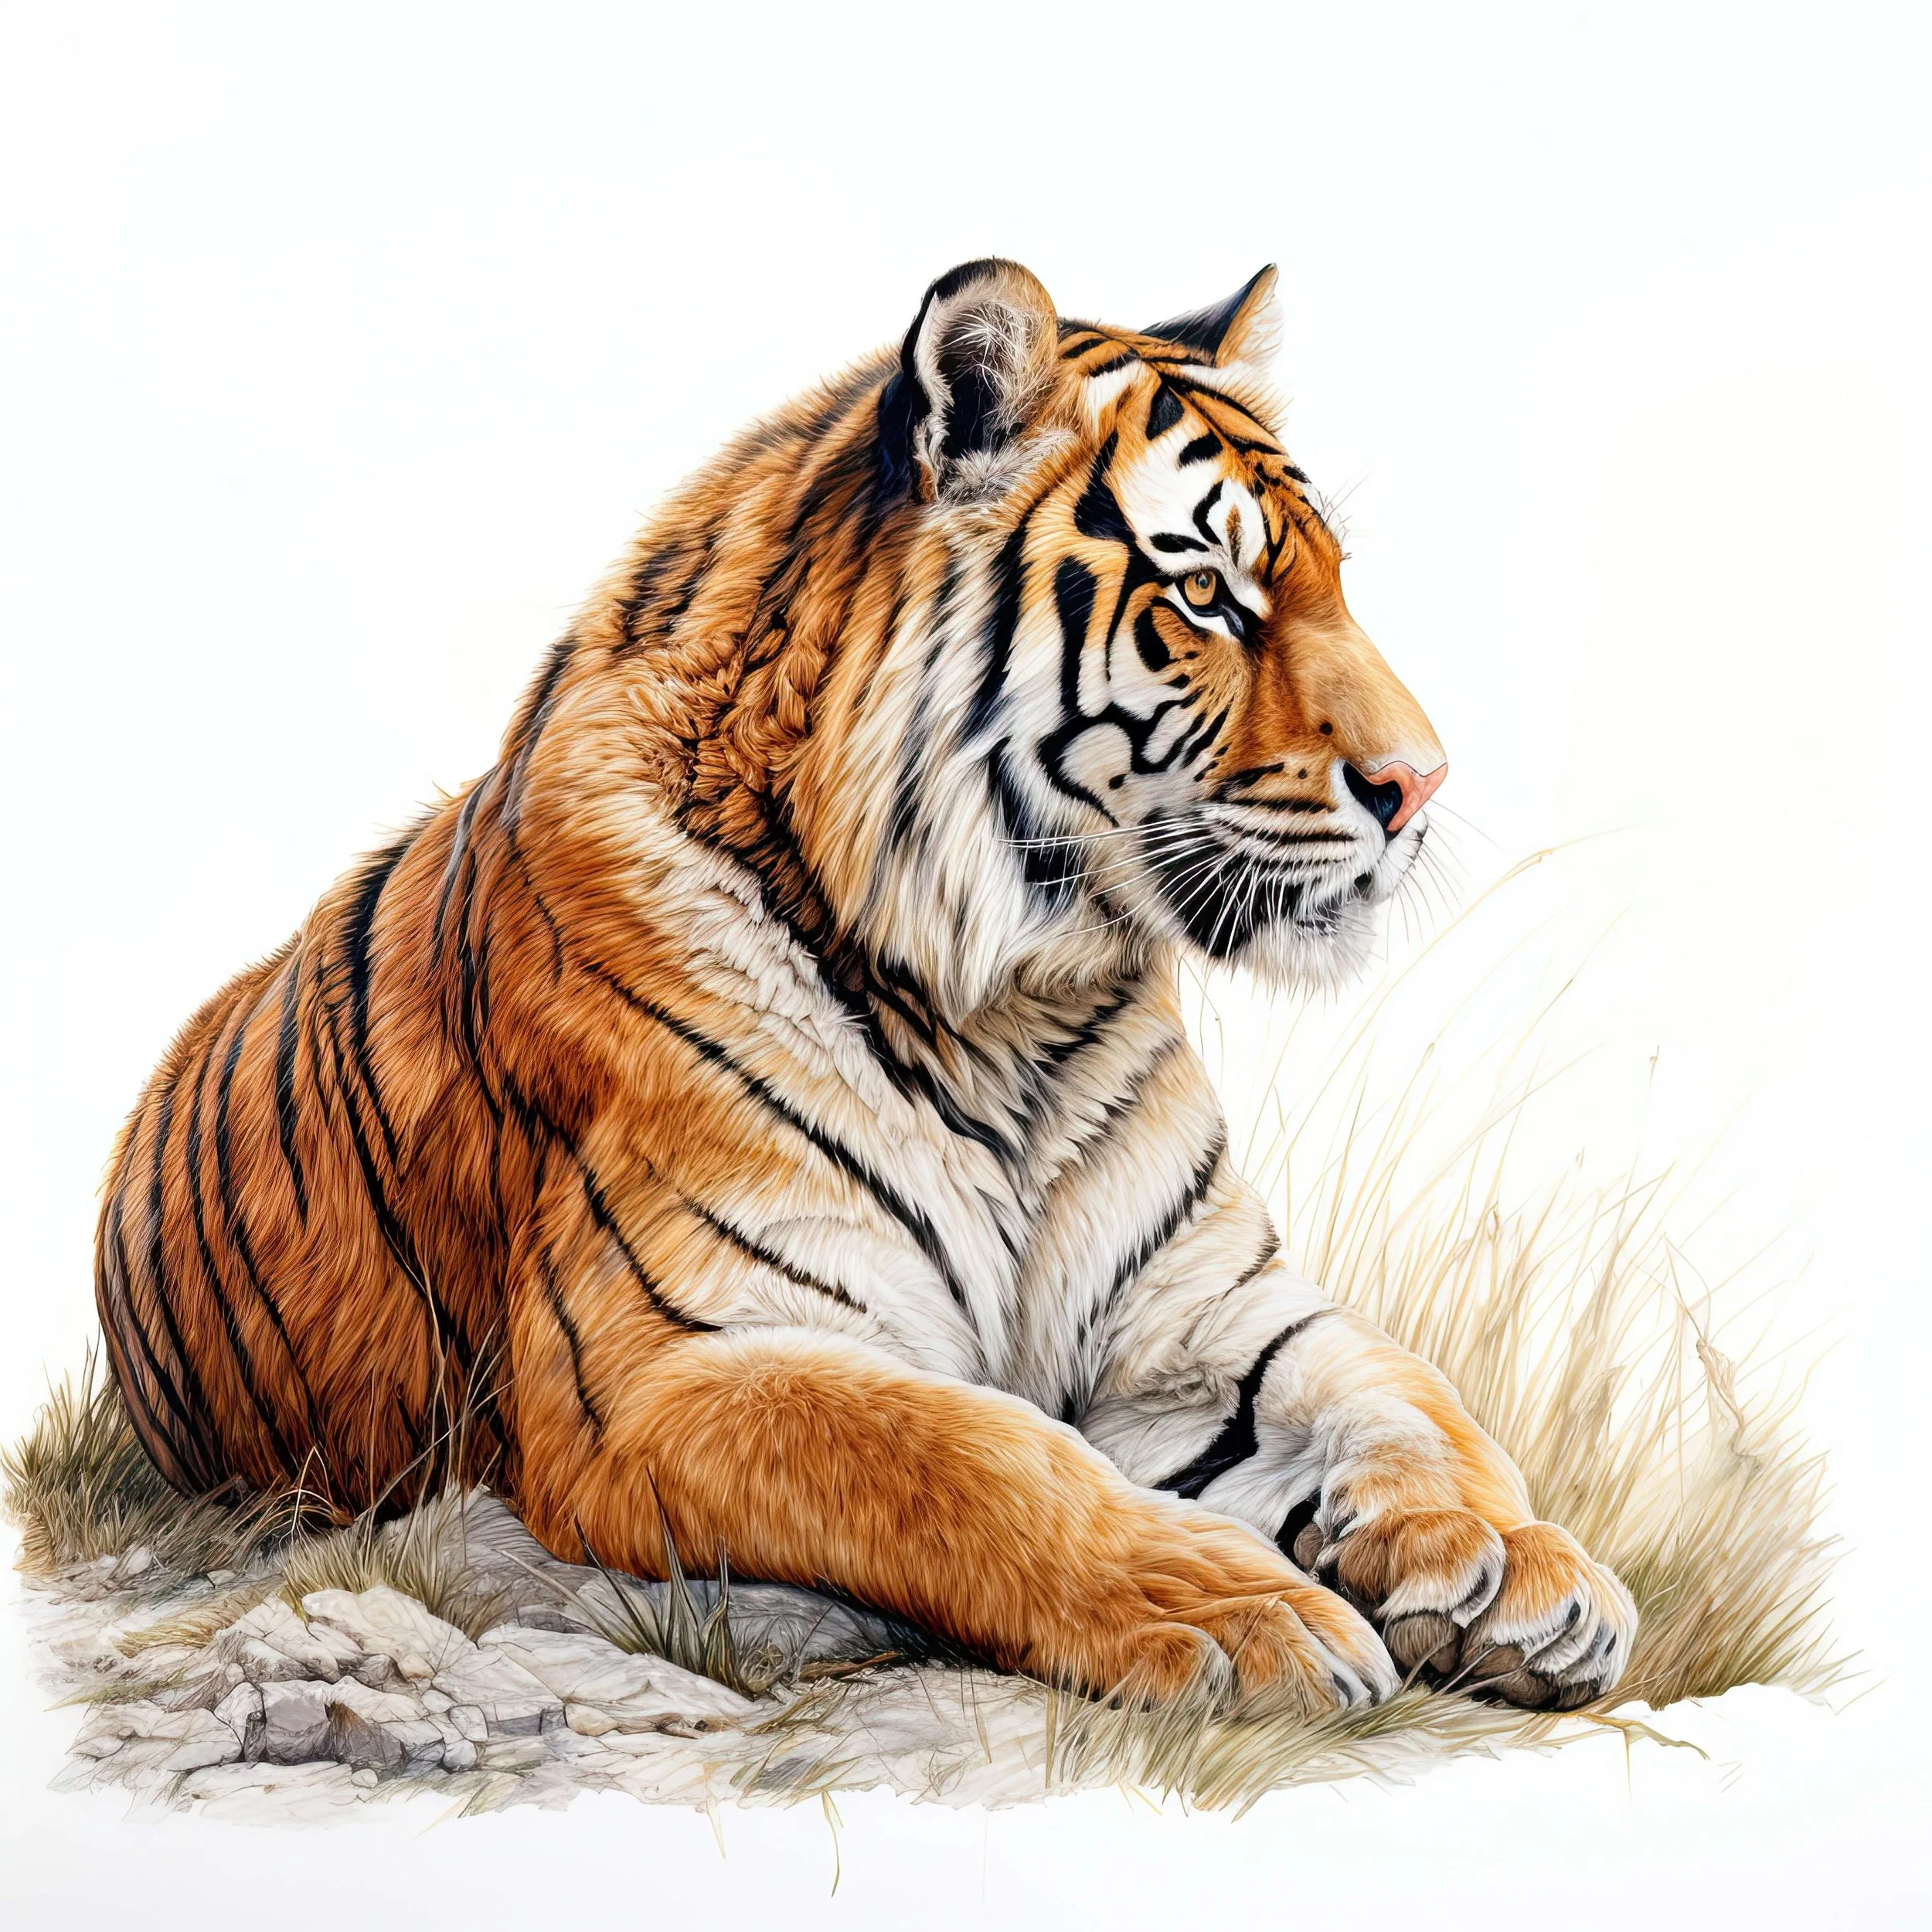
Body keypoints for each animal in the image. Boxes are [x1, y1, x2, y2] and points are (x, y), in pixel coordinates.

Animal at [96, 259, 1636, 1716]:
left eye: (1335, 581)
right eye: (1205, 592)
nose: (1421, 783)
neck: (1017, 1008)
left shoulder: (1203, 1314)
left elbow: (1405, 1391)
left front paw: (1521, 1568)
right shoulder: (665, 1370)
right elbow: (969, 1455)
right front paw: (1232, 1610)